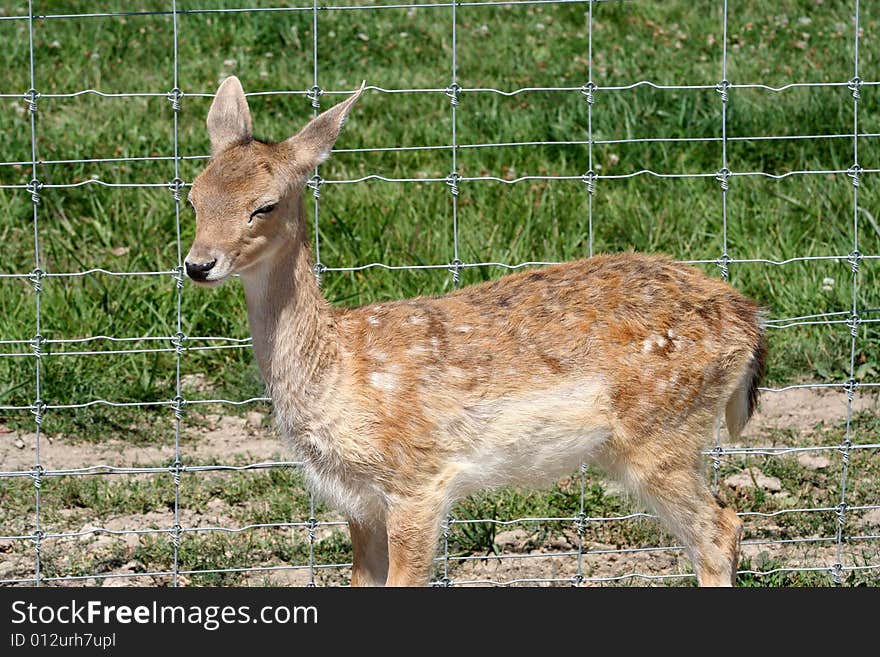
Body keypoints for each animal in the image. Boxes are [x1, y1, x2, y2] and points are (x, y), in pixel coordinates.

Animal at [189, 75, 768, 584]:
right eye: (193, 196)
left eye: (264, 206)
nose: (198, 264)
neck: (337, 373)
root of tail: (748, 321)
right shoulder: (356, 502)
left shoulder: (417, 481)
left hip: (662, 433)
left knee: (720, 530)